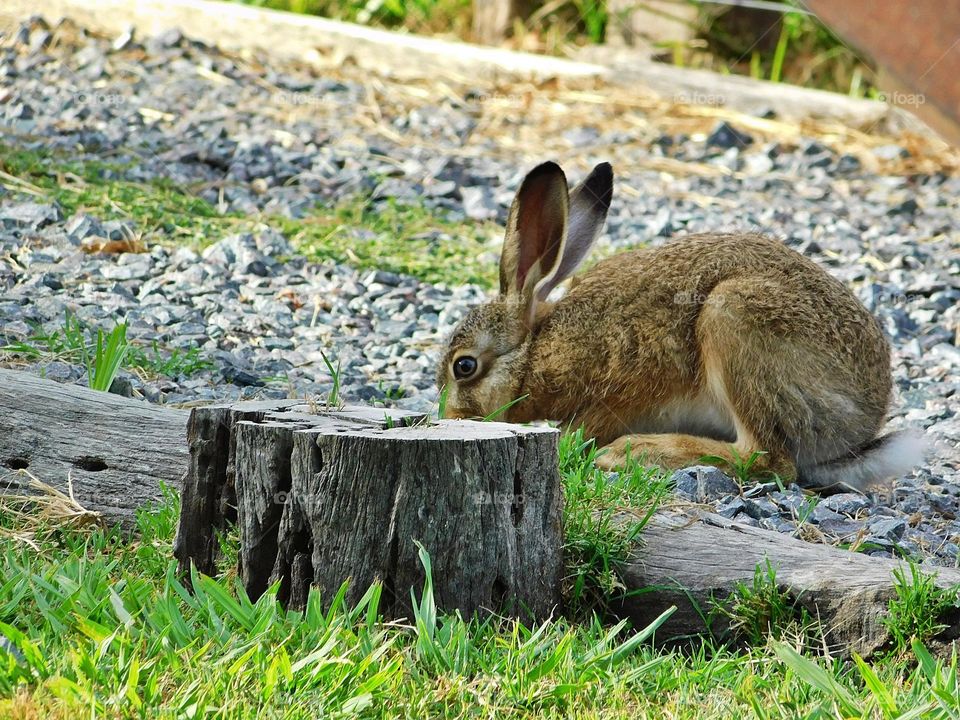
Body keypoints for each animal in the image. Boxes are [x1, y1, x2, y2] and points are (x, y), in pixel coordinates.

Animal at [436, 161, 927, 490]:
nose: (450, 418)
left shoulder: (619, 384)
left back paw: (635, 452)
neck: (537, 350)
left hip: (734, 321)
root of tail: (862, 425)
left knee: (768, 459)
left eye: (465, 366)